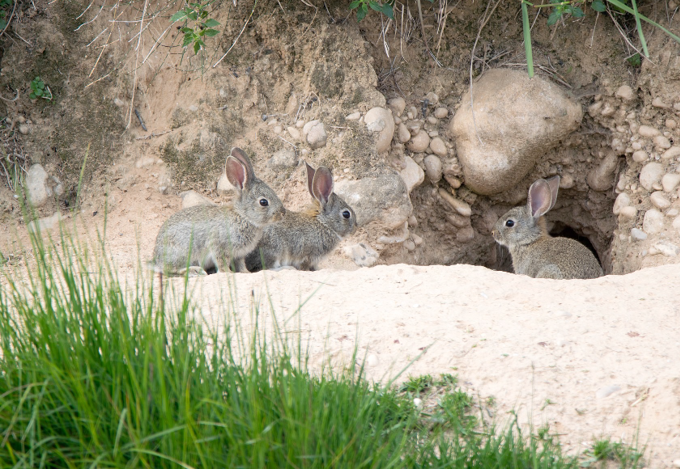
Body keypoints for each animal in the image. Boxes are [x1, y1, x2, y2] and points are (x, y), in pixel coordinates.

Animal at [150, 147, 284, 276]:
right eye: (263, 202)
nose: (282, 213)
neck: (243, 216)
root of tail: (157, 259)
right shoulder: (220, 246)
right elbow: (221, 262)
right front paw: (228, 272)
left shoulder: (239, 255)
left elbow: (240, 264)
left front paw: (246, 272)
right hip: (181, 253)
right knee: (170, 269)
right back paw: (194, 271)